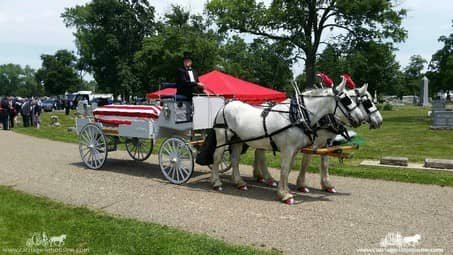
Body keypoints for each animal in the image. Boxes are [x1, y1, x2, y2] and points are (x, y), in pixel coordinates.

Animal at [210, 80, 362, 204]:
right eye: (346, 99)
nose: (359, 118)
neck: (297, 115)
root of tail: (225, 105)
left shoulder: (294, 149)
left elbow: (288, 169)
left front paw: (285, 190)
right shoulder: (287, 149)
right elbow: (284, 169)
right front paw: (284, 195)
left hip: (237, 139)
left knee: (235, 159)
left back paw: (239, 183)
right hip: (222, 137)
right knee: (217, 157)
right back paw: (216, 182)